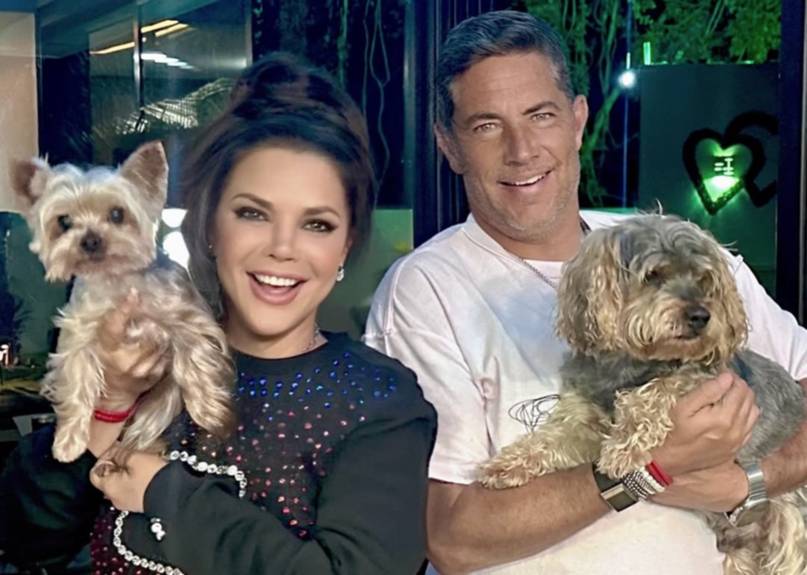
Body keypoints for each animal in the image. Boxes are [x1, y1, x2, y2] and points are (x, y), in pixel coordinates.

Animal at [11, 142, 234, 462]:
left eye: (117, 214)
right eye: (64, 221)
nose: (91, 241)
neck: (117, 280)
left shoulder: (187, 316)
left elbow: (194, 361)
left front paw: (209, 414)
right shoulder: (78, 332)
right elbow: (76, 380)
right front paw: (68, 443)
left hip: (162, 398)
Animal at [479, 214, 807, 575]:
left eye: (703, 279)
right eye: (653, 275)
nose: (701, 316)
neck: (633, 362)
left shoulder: (708, 381)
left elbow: (659, 389)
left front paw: (624, 446)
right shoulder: (585, 420)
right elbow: (554, 438)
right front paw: (509, 463)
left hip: (791, 528)